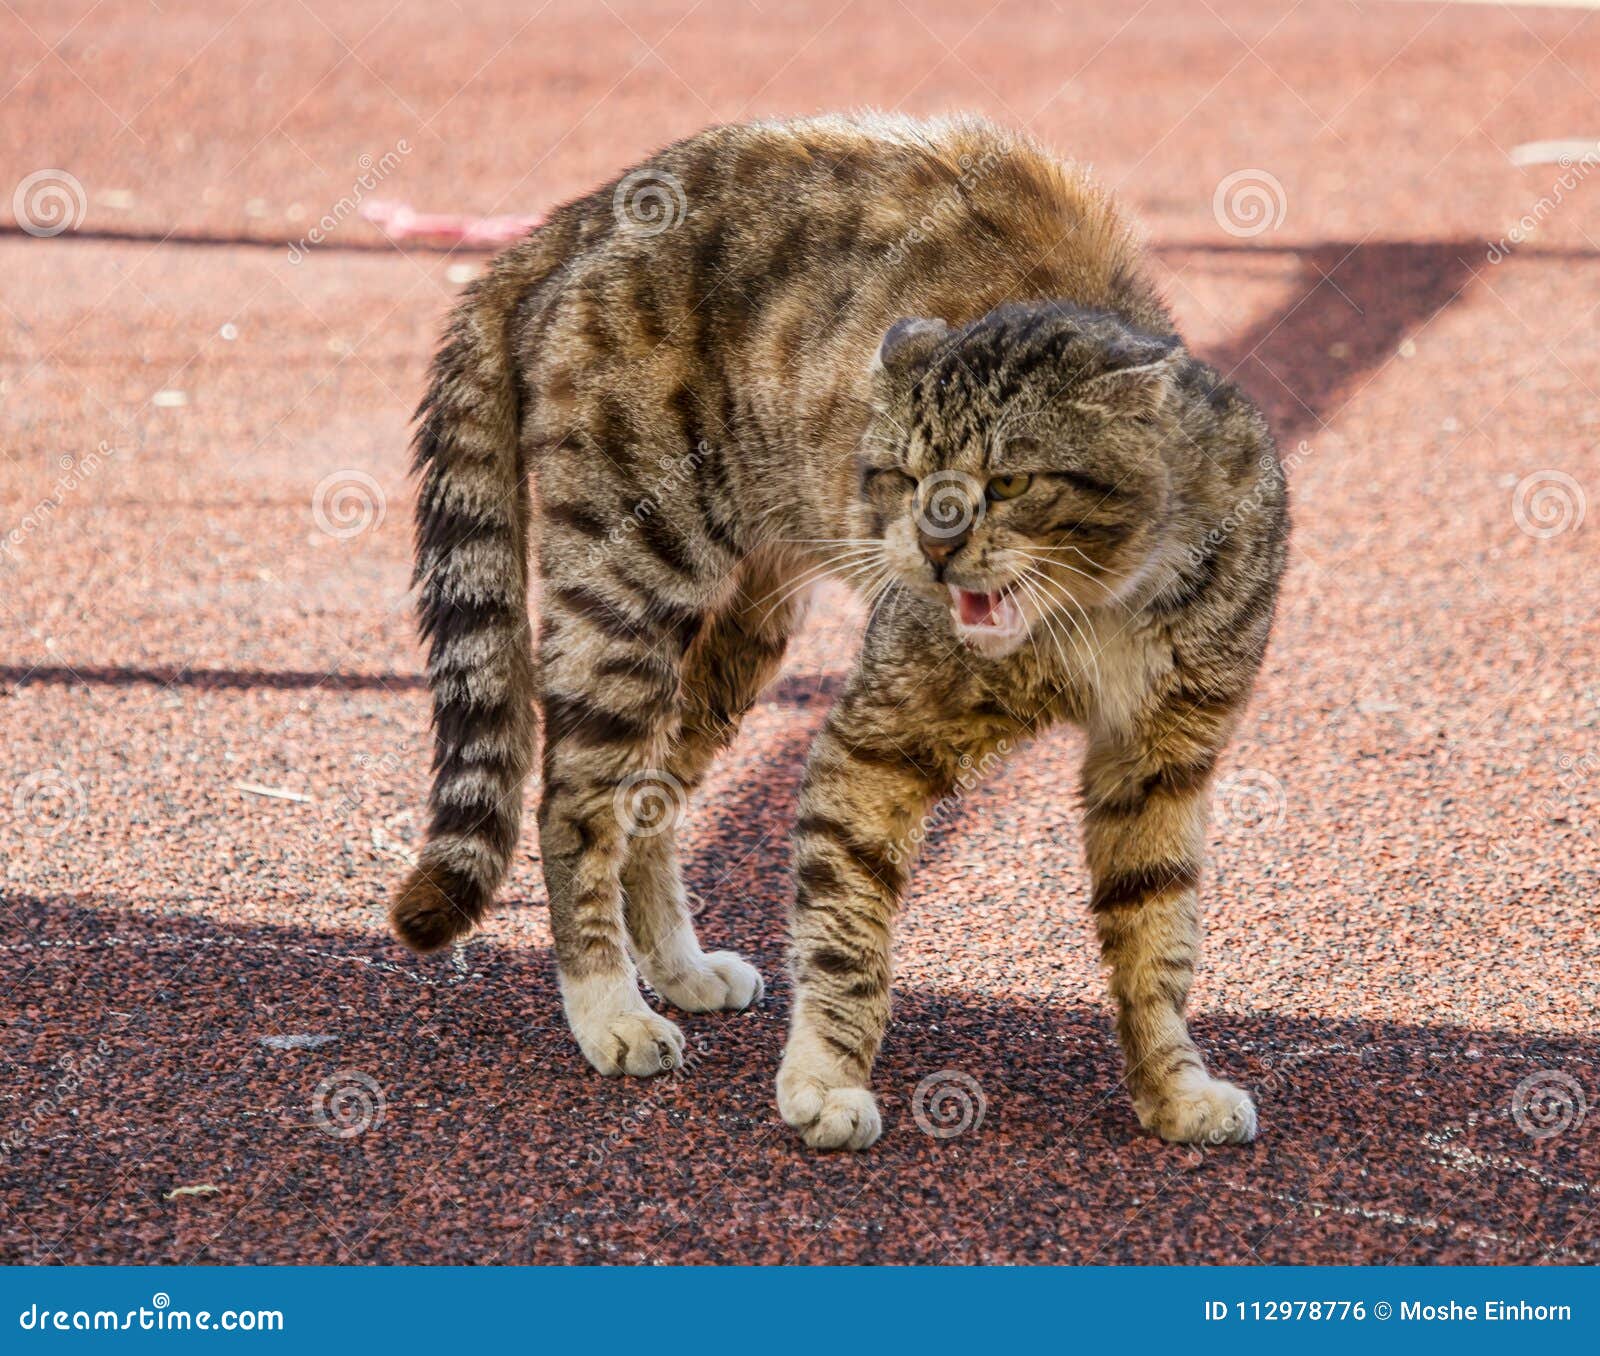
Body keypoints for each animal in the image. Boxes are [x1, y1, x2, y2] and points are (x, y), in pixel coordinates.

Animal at [387, 119, 1286, 1157]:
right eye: (902, 474)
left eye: (1010, 483)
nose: (934, 544)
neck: (1098, 608)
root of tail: (578, 215)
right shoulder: (877, 741)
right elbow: (845, 930)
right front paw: (825, 1077)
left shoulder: (1162, 762)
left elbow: (1157, 932)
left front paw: (1172, 1088)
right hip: (630, 590)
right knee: (575, 803)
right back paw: (609, 1005)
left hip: (736, 635)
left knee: (649, 797)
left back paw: (679, 969)